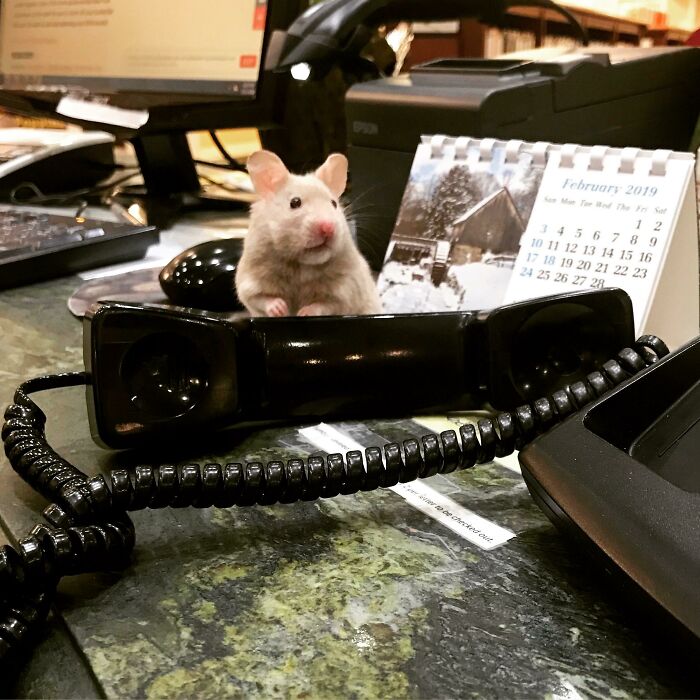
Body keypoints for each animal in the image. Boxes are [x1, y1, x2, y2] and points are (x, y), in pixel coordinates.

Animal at [235, 152, 382, 318]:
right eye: (295, 202)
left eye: (334, 204)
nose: (328, 228)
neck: (301, 265)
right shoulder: (248, 282)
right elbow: (260, 298)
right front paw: (280, 309)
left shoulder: (347, 289)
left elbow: (326, 305)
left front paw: (304, 312)